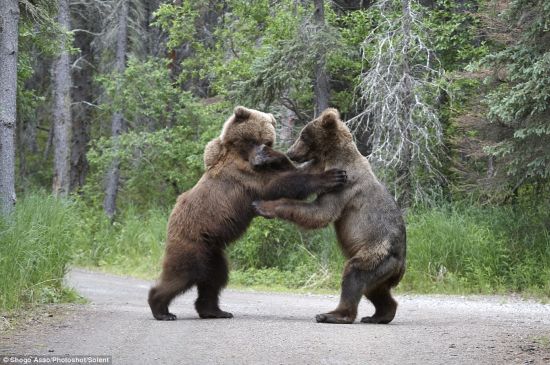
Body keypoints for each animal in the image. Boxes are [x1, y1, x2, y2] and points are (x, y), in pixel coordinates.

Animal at [149, 105, 348, 318]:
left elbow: (286, 173)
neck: (241, 154)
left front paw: (278, 156)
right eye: (253, 139)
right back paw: (161, 309)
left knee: (215, 278)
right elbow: (280, 183)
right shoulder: (244, 176)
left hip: (214, 250)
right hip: (192, 240)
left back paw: (214, 311)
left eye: (266, 141)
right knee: (184, 273)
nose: (260, 159)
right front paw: (332, 176)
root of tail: (171, 217)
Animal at [253, 106, 406, 322]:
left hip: (377, 253)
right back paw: (379, 315)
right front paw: (269, 154)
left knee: (354, 274)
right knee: (375, 290)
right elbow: (298, 174)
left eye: (303, 135)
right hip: (382, 269)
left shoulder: (344, 184)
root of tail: (401, 267)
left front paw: (262, 206)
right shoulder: (318, 166)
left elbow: (321, 212)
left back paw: (332, 314)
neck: (330, 156)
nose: (292, 152)